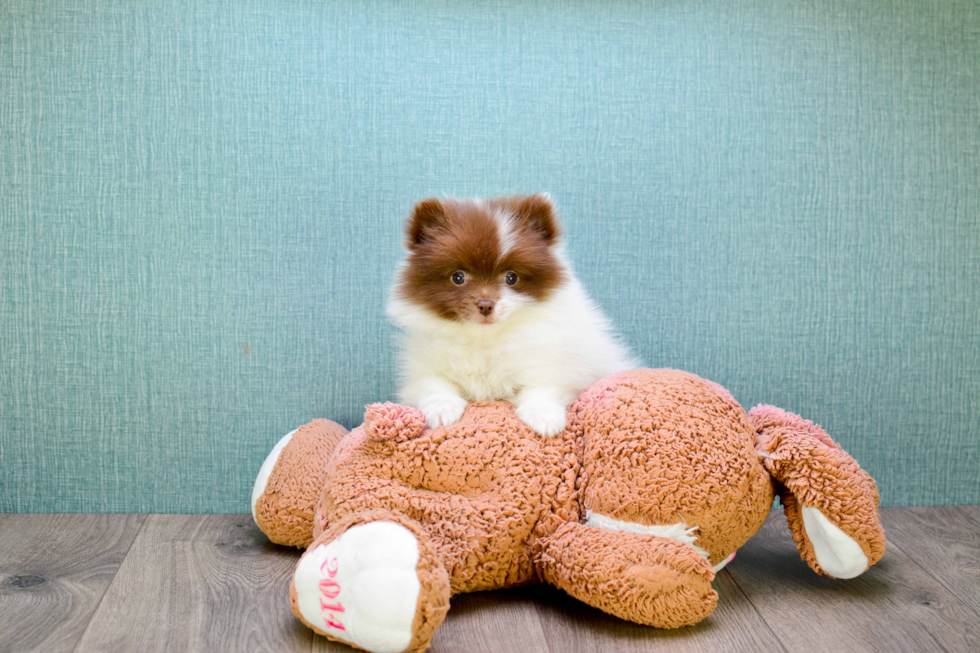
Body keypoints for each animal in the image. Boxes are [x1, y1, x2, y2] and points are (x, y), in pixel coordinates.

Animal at [386, 195, 640, 438]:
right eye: (458, 277)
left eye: (511, 277)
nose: (485, 304)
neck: (485, 339)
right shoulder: (421, 368)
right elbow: (431, 384)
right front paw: (442, 409)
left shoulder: (556, 364)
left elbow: (543, 387)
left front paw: (544, 417)